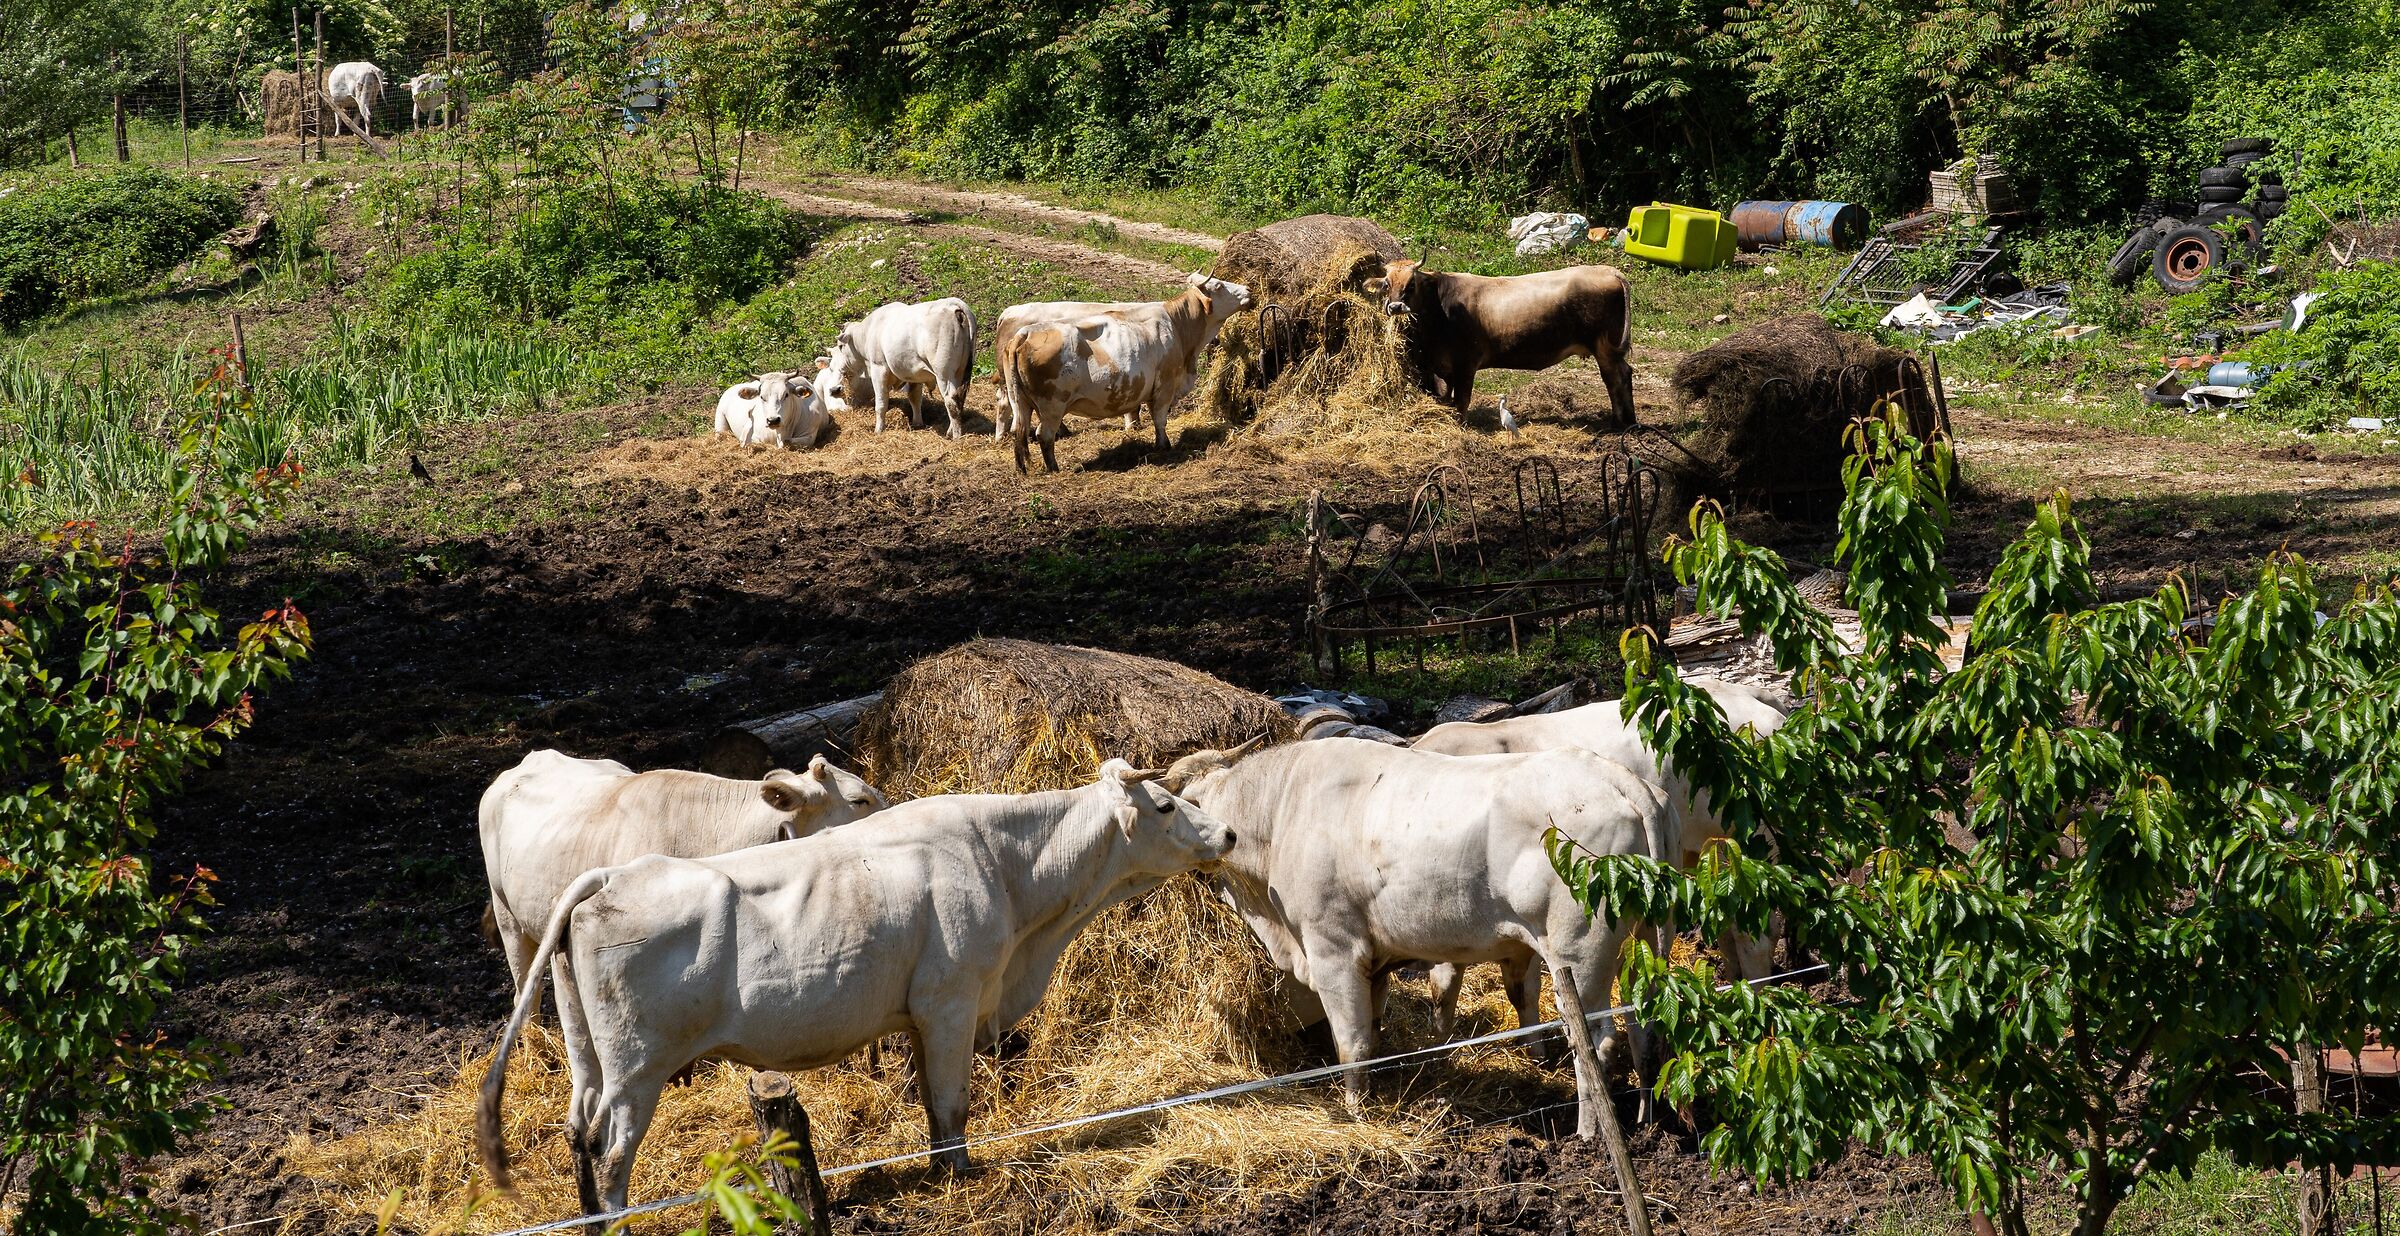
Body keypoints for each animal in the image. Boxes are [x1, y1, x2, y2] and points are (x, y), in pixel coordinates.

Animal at [829, 297, 977, 438]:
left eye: (841, 346)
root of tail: (952, 304)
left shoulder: (879, 369)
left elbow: (881, 403)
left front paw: (878, 430)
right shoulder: (915, 373)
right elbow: (914, 398)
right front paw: (917, 423)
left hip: (944, 375)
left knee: (952, 401)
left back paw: (956, 436)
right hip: (960, 372)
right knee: (959, 400)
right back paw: (950, 432)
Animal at [1002, 273, 1252, 474]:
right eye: (1219, 285)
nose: (1249, 290)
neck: (1177, 326)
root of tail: (1024, 334)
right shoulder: (1165, 386)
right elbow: (1160, 419)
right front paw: (1164, 446)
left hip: (1020, 401)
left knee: (1018, 431)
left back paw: (1023, 467)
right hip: (1052, 405)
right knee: (1043, 435)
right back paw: (1053, 468)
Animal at [1161, 737, 1671, 1106]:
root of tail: (1616, 776)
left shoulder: (1333, 952)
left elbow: (1350, 1044)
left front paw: (1354, 1109)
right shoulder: (1374, 962)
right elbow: (1374, 1031)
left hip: (1579, 954)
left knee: (1597, 1044)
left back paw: (1589, 1131)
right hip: (1641, 946)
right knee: (1642, 1028)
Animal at [1362, 259, 1636, 429]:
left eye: (1412, 284)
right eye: (1387, 284)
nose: (1396, 306)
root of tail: (1610, 271)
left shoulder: (1466, 363)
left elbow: (1462, 399)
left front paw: (1461, 425)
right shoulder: (1447, 366)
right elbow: (1449, 395)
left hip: (1605, 348)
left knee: (1615, 378)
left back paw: (1619, 422)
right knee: (1623, 375)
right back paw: (1627, 421)